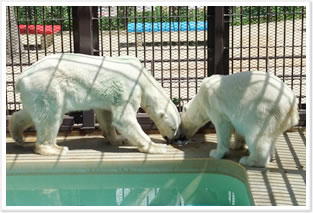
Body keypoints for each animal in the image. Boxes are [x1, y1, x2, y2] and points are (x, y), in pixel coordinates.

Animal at [8, 53, 180, 156]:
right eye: (173, 128)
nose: (173, 140)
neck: (142, 76)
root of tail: (21, 78)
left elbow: (106, 114)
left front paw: (118, 139)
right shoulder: (128, 87)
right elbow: (124, 119)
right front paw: (156, 147)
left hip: (35, 91)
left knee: (31, 112)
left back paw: (17, 134)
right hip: (48, 86)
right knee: (51, 115)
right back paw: (55, 149)